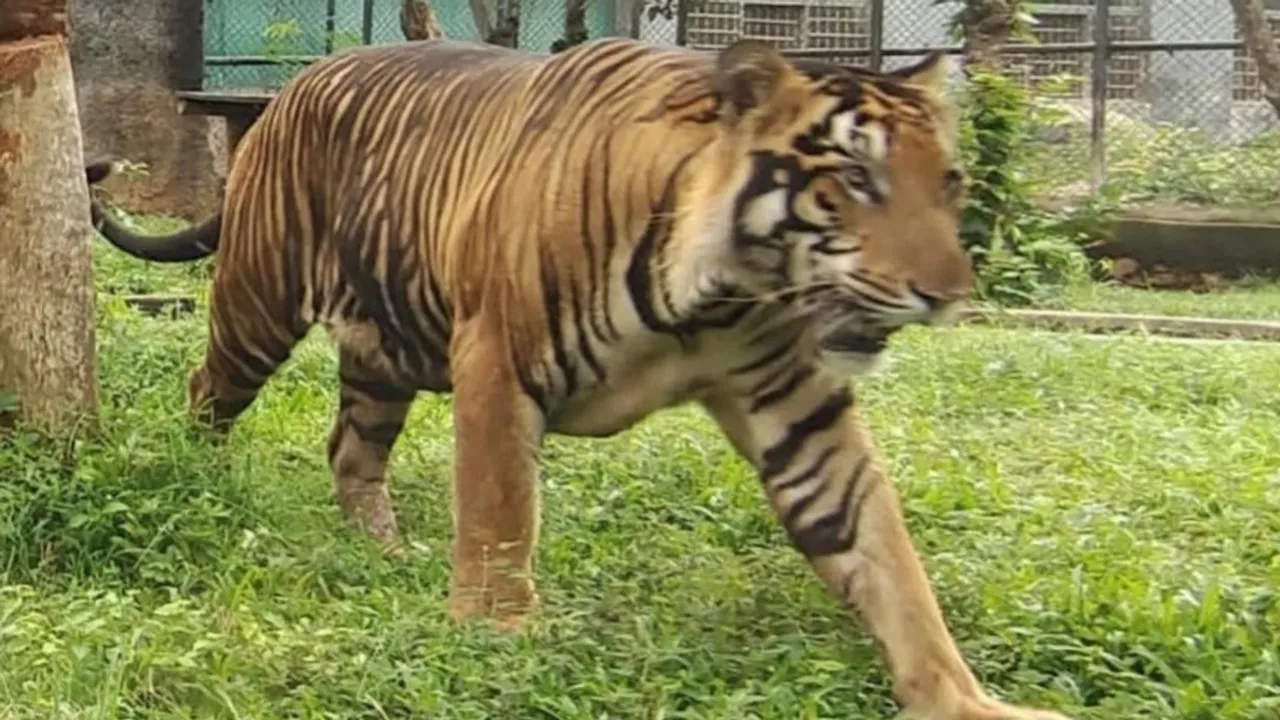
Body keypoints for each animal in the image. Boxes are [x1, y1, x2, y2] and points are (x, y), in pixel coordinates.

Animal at [85, 36, 1075, 712]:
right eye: (859, 180)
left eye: (949, 183)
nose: (949, 294)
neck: (717, 297)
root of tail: (291, 85)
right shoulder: (497, 362)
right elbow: (499, 517)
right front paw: (497, 636)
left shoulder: (796, 406)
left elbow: (884, 557)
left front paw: (966, 699)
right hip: (259, 302)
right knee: (208, 394)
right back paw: (204, 483)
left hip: (383, 347)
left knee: (350, 449)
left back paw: (385, 553)